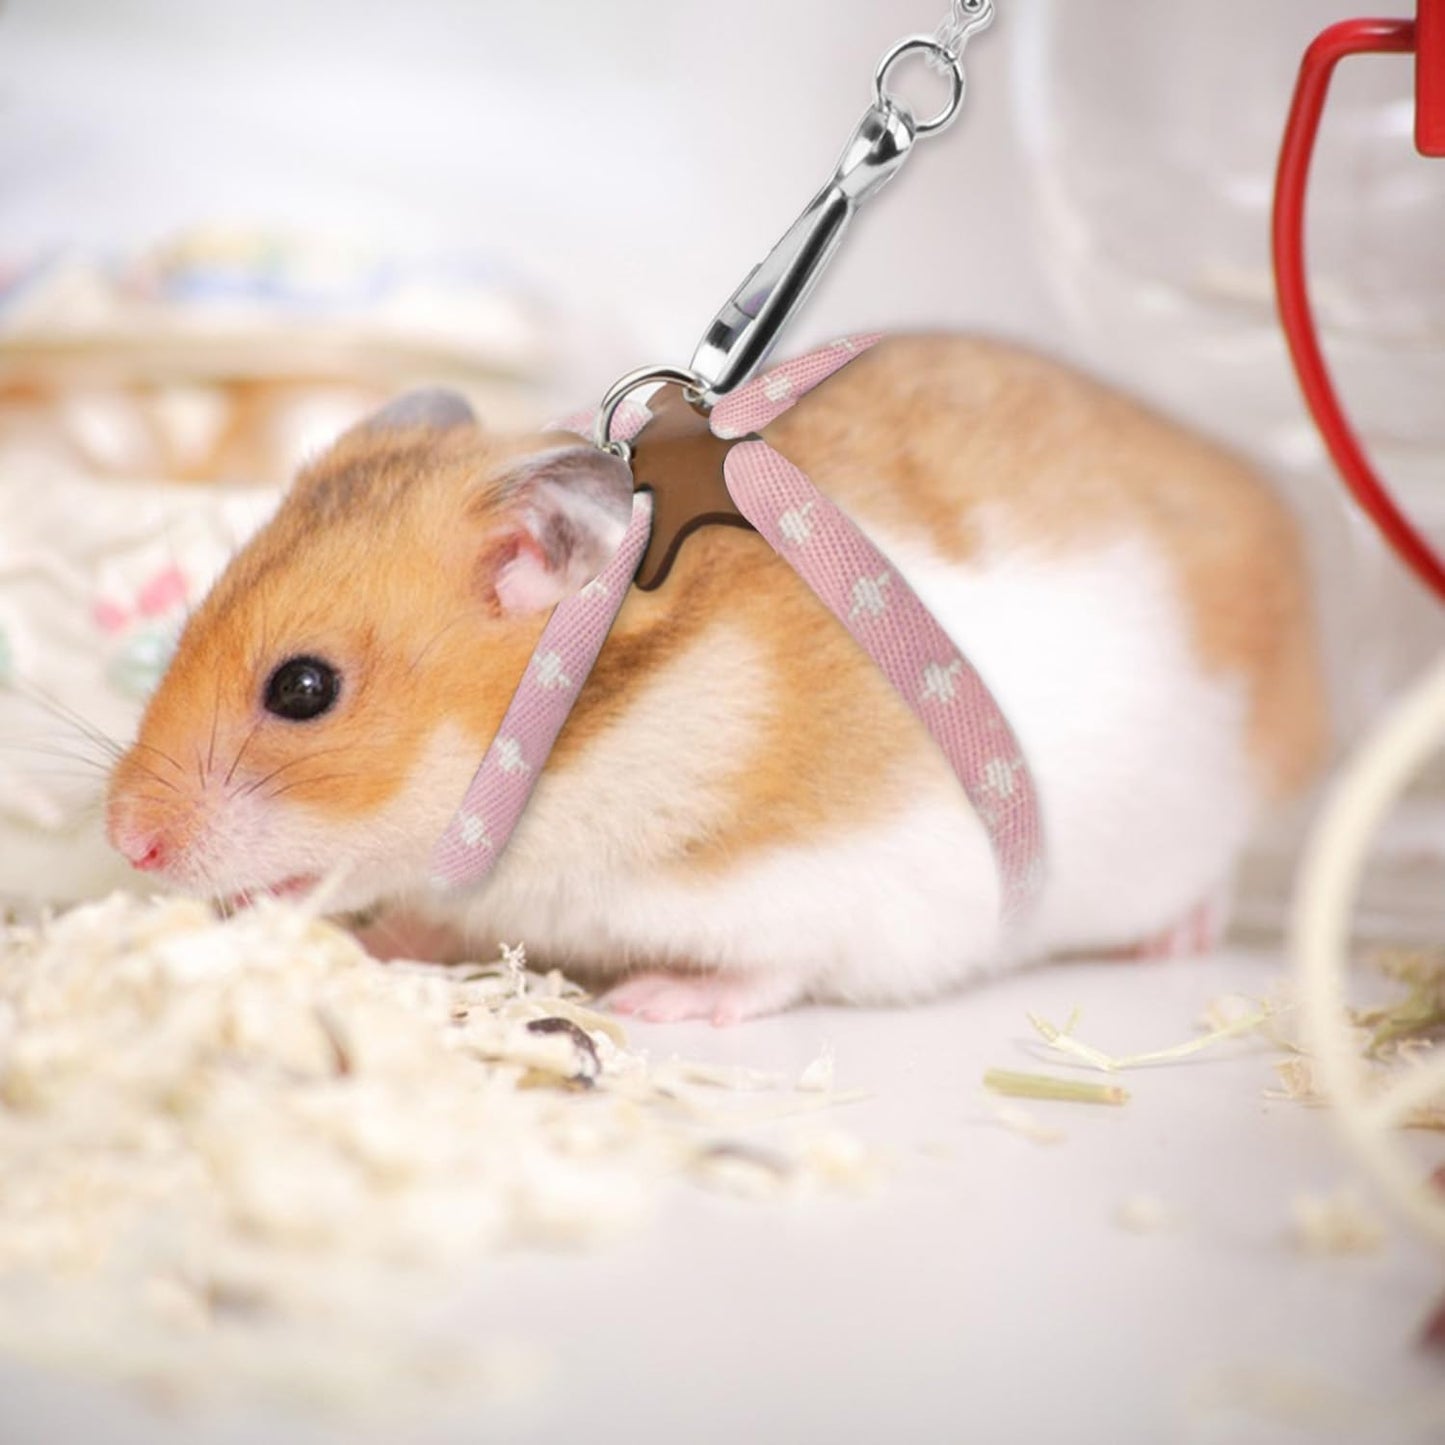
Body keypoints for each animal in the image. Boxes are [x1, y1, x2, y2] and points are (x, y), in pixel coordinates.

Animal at [105, 334, 1328, 1024]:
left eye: (303, 689)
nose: (126, 840)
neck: (582, 740)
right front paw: (382, 941)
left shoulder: (836, 890)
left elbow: (768, 969)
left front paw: (658, 1000)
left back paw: (1171, 938)